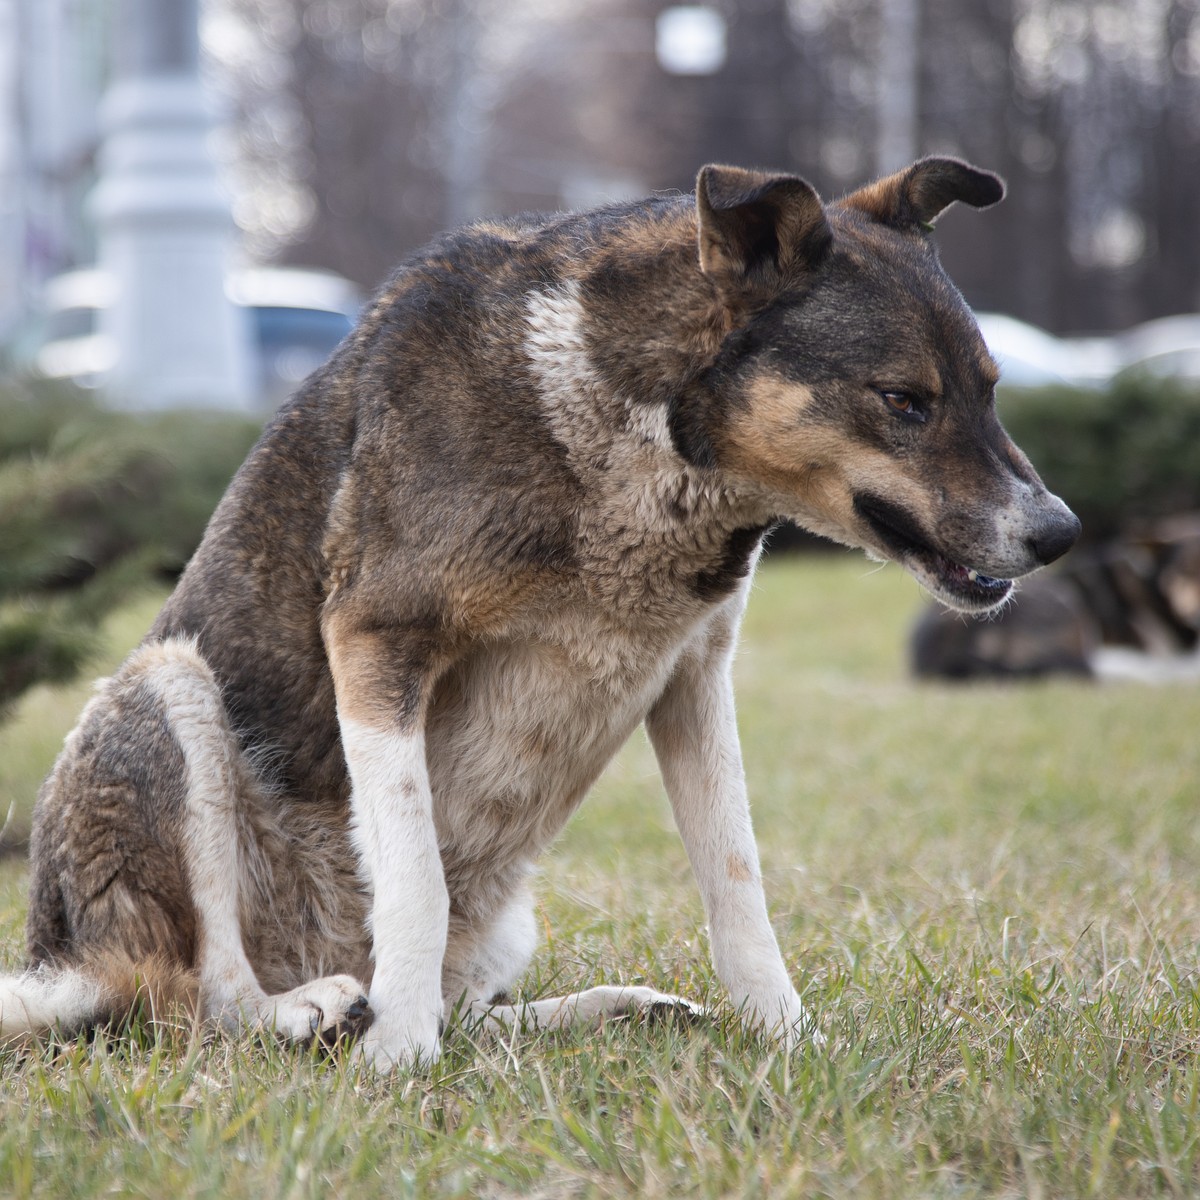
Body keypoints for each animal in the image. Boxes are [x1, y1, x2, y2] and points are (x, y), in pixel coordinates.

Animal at [0, 159, 1084, 1070]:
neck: (630, 432)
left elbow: (737, 883)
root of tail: (71, 965)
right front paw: (398, 1058)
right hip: (170, 689)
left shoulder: (695, 681)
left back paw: (614, 1008)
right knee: (205, 998)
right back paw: (313, 1009)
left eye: (991, 391)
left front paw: (789, 1039)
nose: (1061, 532)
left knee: (472, 1011)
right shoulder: (378, 641)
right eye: (904, 400)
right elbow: (416, 880)